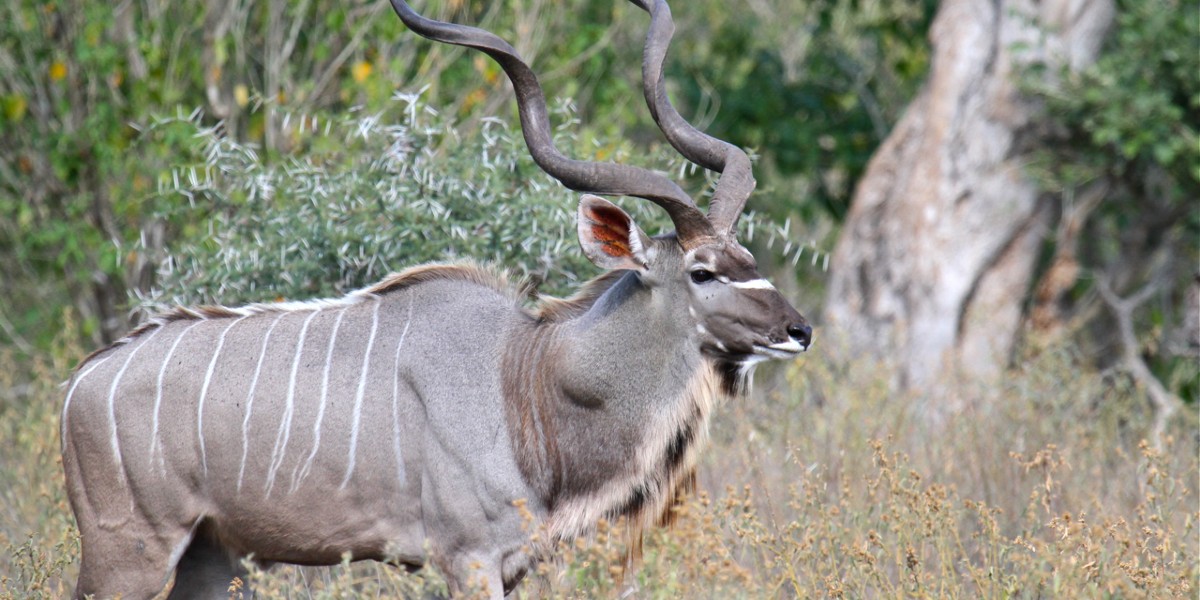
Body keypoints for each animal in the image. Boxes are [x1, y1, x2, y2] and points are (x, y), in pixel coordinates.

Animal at [63, 1, 816, 595]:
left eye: (749, 258)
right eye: (702, 271)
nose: (797, 330)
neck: (529, 377)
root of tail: (80, 384)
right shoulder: (469, 557)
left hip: (212, 553)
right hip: (128, 548)